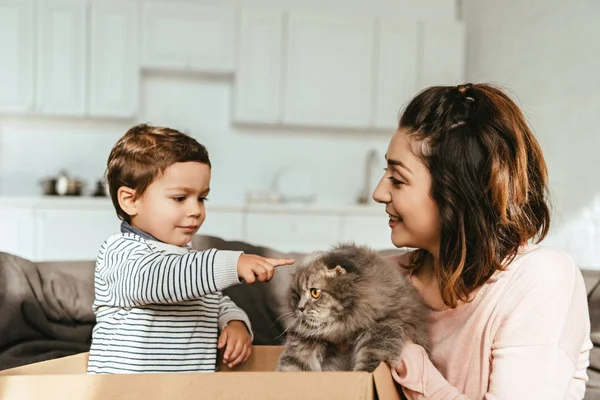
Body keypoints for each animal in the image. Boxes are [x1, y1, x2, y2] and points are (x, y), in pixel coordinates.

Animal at [274, 242, 428, 374]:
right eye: (297, 295)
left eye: (315, 293)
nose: (300, 308)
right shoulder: (304, 339)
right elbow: (294, 364)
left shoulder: (383, 328)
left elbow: (369, 362)